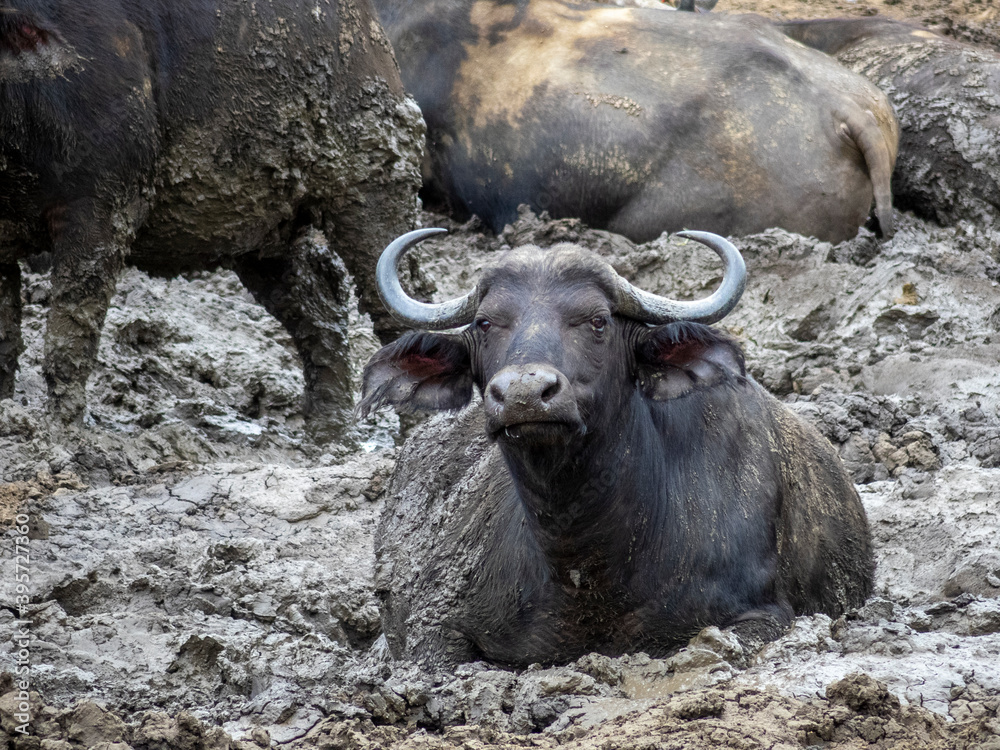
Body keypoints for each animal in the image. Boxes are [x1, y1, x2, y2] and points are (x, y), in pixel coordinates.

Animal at [0, 0, 423, 437]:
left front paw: (61, 432)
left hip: (370, 182)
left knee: (395, 290)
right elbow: (5, 331)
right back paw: (327, 432)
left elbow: (71, 325)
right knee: (320, 300)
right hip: (264, 230)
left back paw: (413, 431)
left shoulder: (103, 203)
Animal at [360, 228, 873, 667]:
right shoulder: (437, 625)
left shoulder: (762, 614)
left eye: (597, 320)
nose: (524, 393)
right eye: (486, 322)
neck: (588, 566)